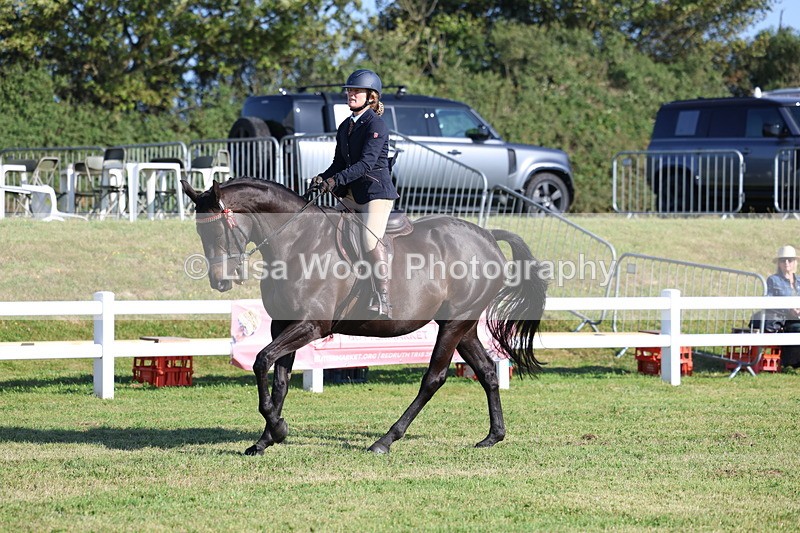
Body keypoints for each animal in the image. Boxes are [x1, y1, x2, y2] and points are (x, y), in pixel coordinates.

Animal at [180, 177, 547, 455]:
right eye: (200, 233)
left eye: (217, 231)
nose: (220, 281)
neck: (296, 242)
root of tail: (487, 237)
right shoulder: (282, 325)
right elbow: (279, 379)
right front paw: (267, 437)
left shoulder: (310, 326)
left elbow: (260, 361)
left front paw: (277, 428)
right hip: (462, 326)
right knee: (486, 372)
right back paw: (493, 436)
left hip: (455, 325)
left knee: (433, 379)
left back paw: (385, 441)